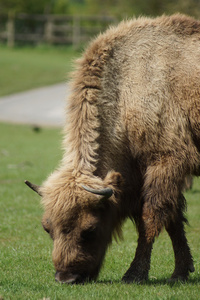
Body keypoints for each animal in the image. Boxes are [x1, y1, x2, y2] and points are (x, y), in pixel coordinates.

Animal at [25, 14, 200, 284]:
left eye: (89, 229)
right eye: (47, 227)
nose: (66, 278)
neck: (125, 86)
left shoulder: (166, 163)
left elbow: (152, 218)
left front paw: (134, 274)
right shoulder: (144, 175)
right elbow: (172, 221)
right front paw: (181, 271)